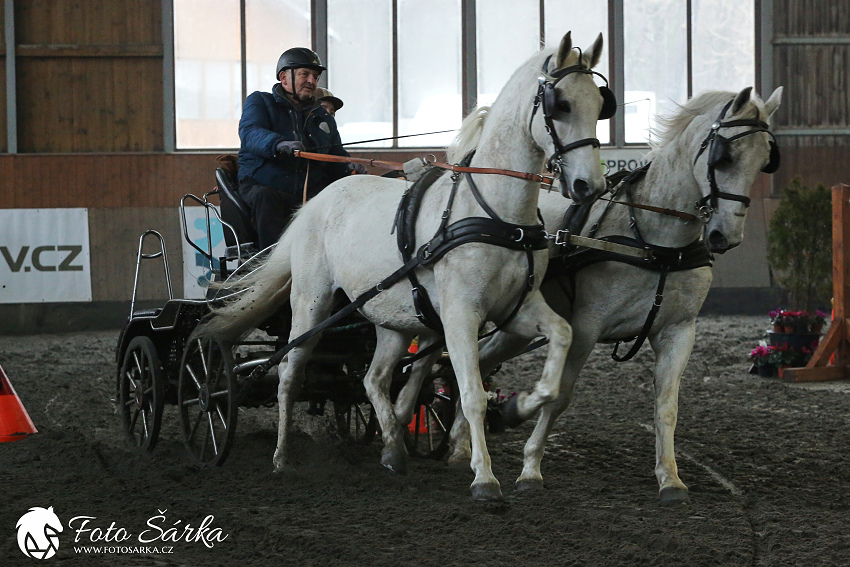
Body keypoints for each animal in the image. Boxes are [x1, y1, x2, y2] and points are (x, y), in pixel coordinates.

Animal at [197, 31, 608, 502]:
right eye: (561, 104)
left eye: (600, 103)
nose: (590, 186)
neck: (494, 213)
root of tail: (315, 202)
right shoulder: (460, 316)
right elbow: (471, 394)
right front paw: (484, 479)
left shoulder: (517, 307)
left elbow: (560, 341)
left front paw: (518, 409)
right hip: (311, 304)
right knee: (289, 371)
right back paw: (282, 457)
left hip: (392, 319)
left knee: (373, 378)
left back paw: (393, 448)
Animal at [424, 86, 780, 504]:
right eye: (725, 157)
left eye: (764, 161)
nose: (727, 236)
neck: (656, 240)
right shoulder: (586, 326)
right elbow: (560, 395)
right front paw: (530, 469)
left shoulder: (680, 331)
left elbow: (667, 407)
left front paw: (670, 478)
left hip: (514, 326)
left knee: (477, 362)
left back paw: (460, 441)